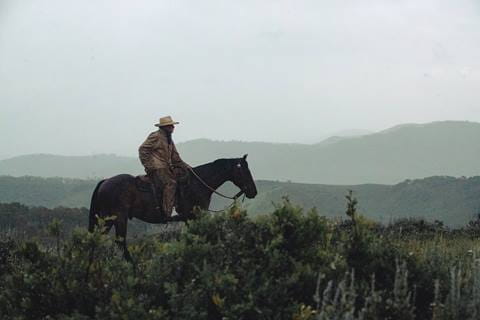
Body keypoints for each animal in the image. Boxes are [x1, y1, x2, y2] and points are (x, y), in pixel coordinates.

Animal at [87, 155, 256, 260]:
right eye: (244, 170)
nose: (253, 191)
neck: (198, 184)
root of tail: (105, 181)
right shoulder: (195, 217)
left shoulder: (190, 219)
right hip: (117, 218)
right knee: (120, 243)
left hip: (107, 220)